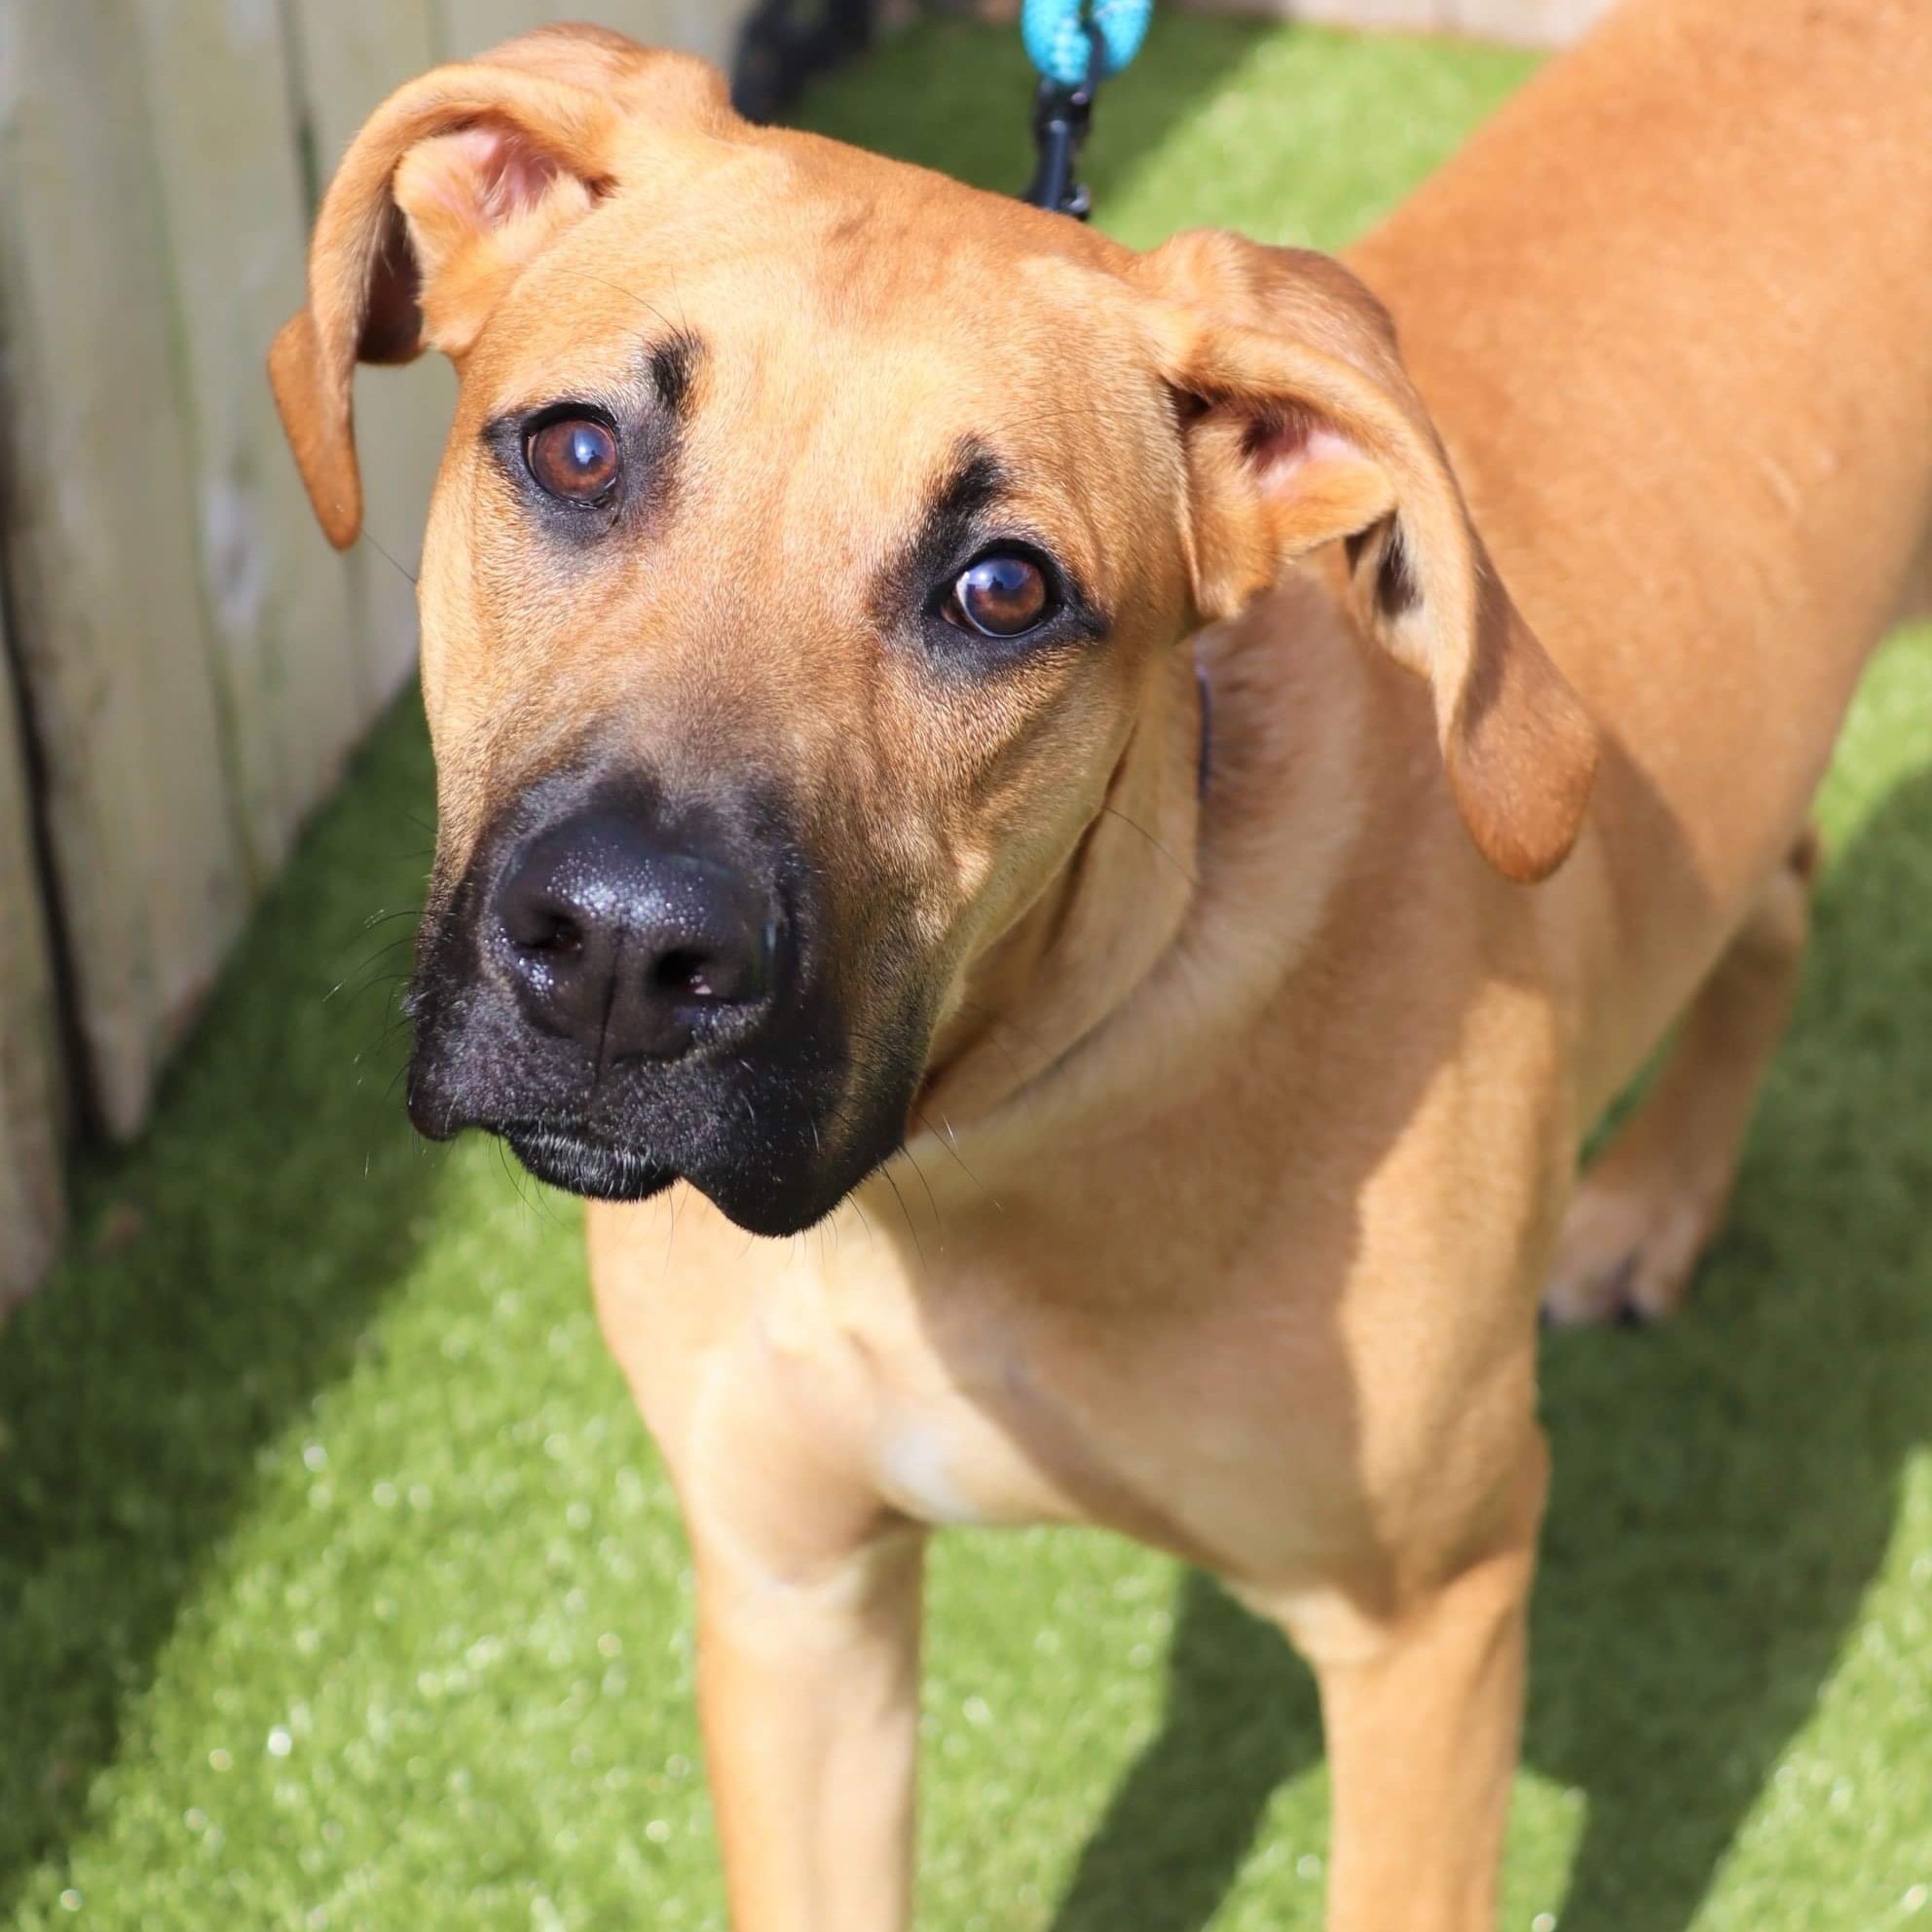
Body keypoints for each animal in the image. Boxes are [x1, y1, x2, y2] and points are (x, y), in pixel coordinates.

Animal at [272, 7, 1932, 1924]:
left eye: (1003, 590)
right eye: (576, 451)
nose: (621, 950)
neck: (961, 1158)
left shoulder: (1426, 1623)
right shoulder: (792, 1594)